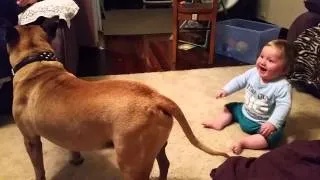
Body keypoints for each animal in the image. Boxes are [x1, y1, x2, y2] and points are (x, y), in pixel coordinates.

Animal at [5, 17, 230, 180]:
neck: (37, 62)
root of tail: (156, 98)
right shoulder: (66, 132)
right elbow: (71, 145)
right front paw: (75, 159)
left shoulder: (30, 139)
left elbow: (38, 168)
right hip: (156, 147)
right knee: (164, 164)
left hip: (131, 163)